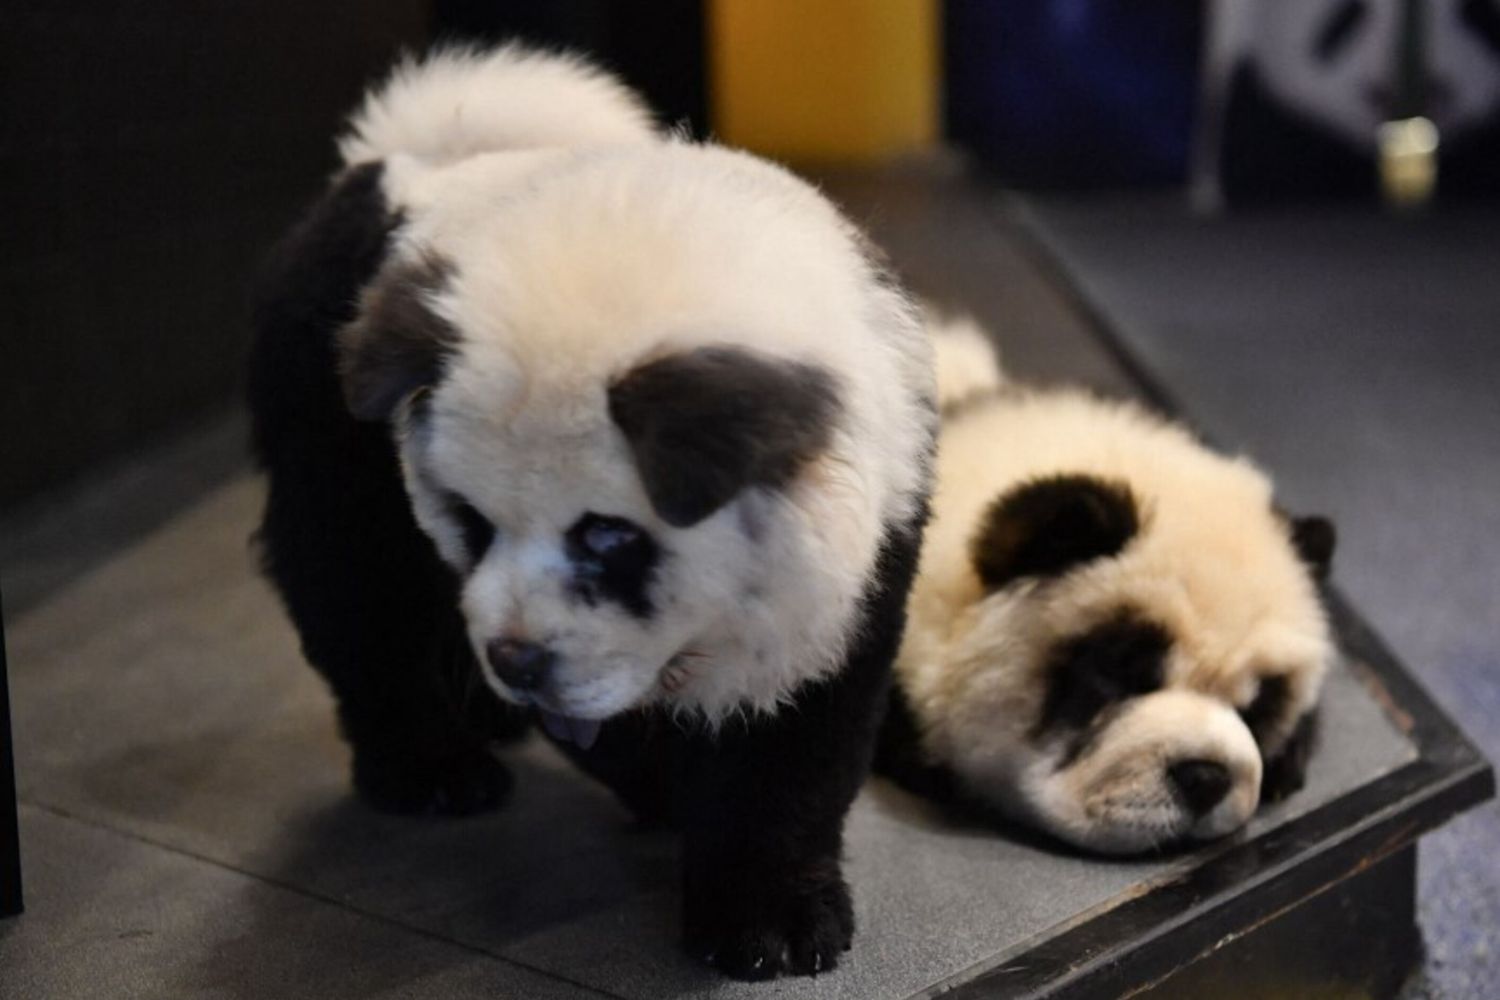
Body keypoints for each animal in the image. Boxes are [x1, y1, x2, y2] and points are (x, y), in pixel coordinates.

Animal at [249, 45, 935, 979]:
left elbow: (798, 728)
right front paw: (662, 784)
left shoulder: (867, 518)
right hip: (325, 415)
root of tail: (395, 156)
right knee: (353, 584)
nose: (517, 659)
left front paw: (772, 921)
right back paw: (430, 765)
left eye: (608, 537)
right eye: (471, 522)